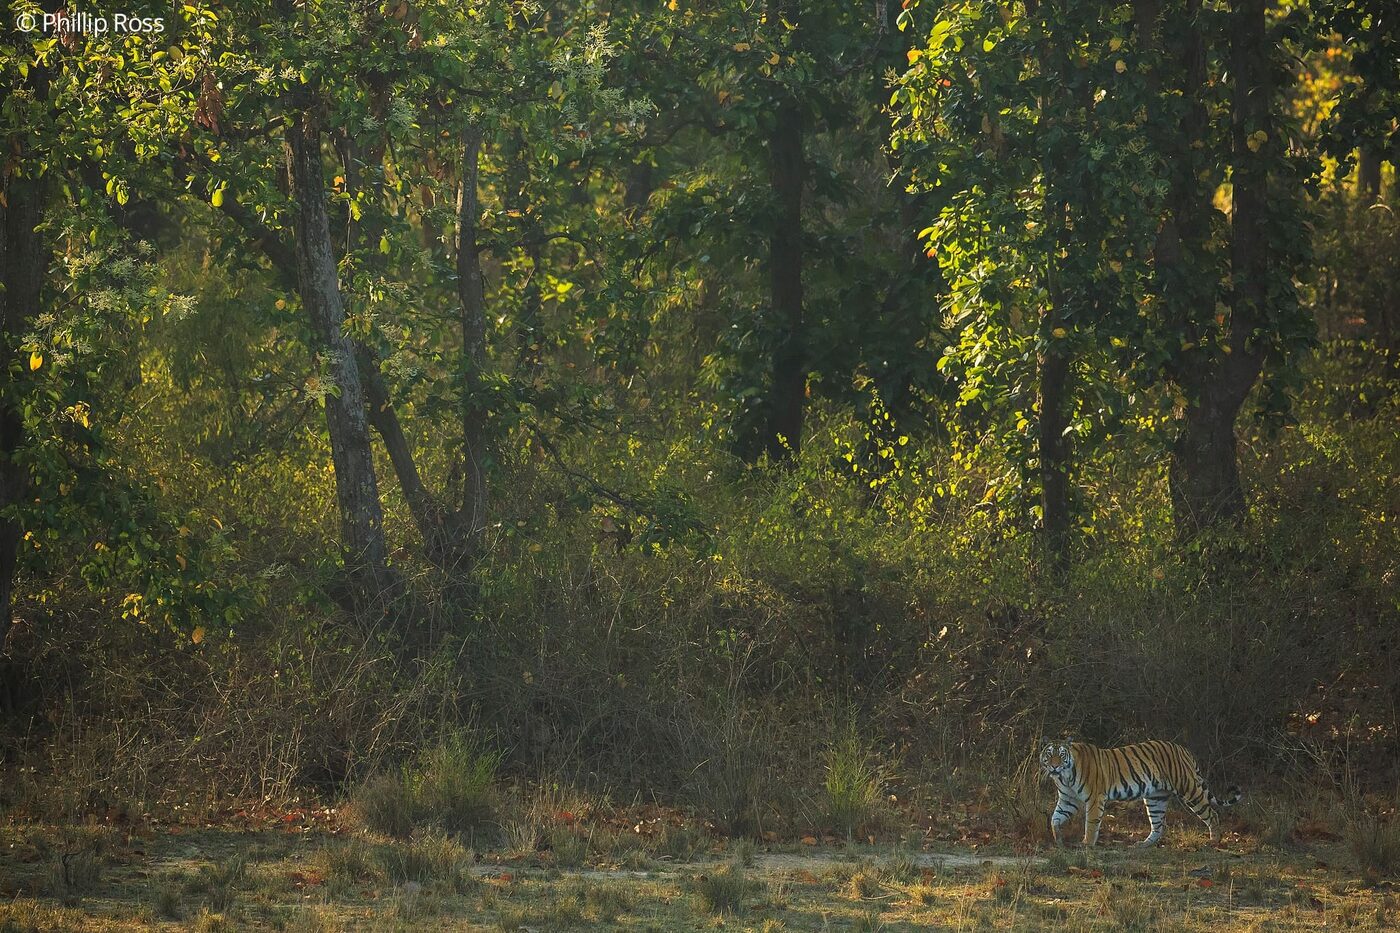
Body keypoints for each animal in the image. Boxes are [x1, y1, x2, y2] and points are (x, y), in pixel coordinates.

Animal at [1039, 738, 1242, 847]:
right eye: (1049, 755)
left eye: (1061, 755)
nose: (1054, 766)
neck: (1065, 777)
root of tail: (1184, 749)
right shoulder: (1068, 799)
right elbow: (1055, 818)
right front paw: (1058, 840)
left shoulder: (1095, 798)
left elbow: (1091, 823)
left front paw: (1087, 844)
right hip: (1156, 798)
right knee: (1159, 825)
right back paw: (1144, 844)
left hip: (1189, 789)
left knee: (1212, 814)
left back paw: (1214, 840)